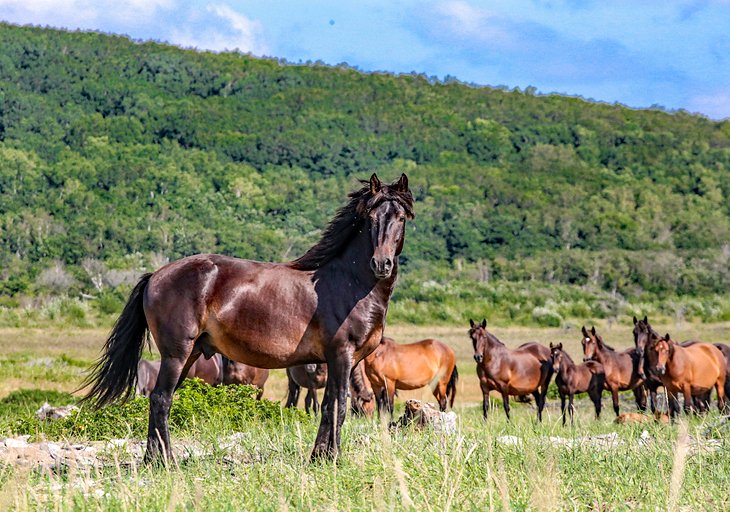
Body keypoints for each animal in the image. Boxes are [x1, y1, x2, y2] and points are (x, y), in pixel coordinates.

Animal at [82, 174, 412, 462]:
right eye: (371, 217)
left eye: (400, 217)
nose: (381, 264)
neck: (348, 283)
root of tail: (155, 276)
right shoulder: (341, 355)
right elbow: (339, 406)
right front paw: (332, 459)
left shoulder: (340, 361)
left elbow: (329, 405)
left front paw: (319, 457)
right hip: (176, 354)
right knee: (161, 399)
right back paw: (166, 462)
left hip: (190, 355)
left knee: (160, 399)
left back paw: (154, 460)